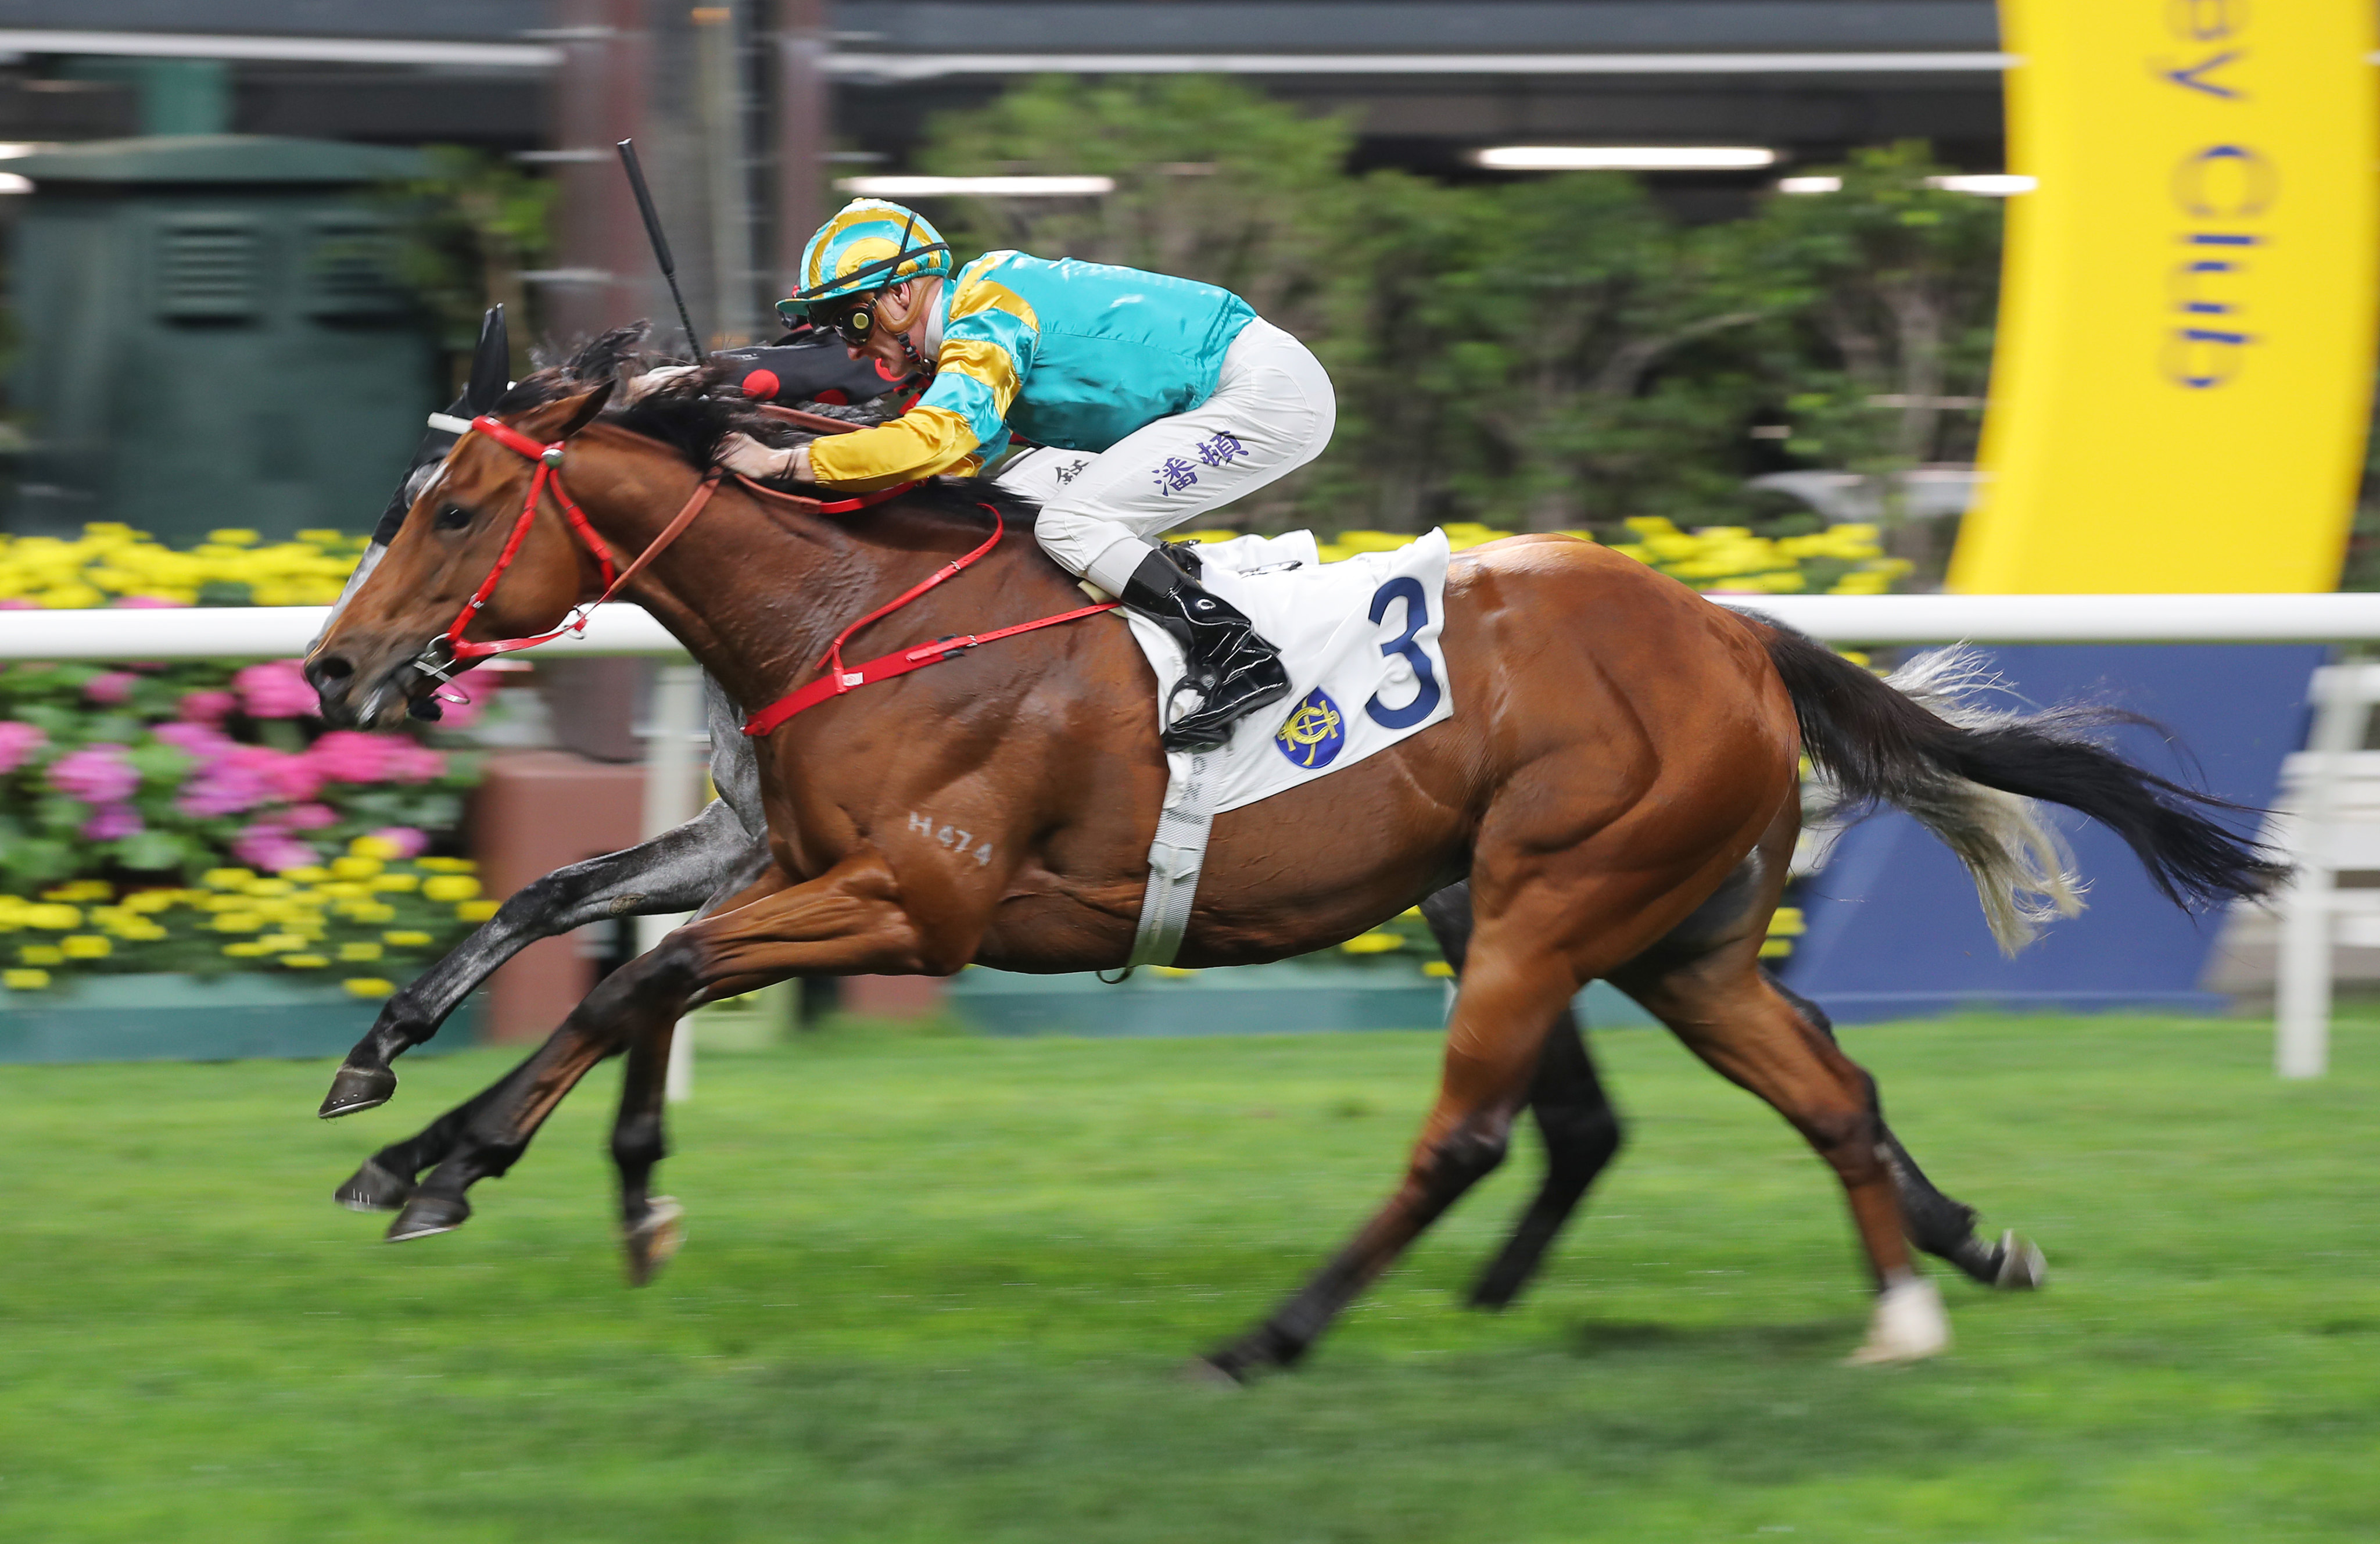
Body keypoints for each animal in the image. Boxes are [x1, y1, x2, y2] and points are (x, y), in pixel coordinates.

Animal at [307, 354, 2275, 1370]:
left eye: (458, 509)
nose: (334, 669)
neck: (860, 609)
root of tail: (1730, 625)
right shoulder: (777, 852)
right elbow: (584, 925)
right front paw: (409, 1095)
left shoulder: (909, 901)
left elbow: (643, 971)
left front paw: (448, 1162)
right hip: (1676, 936)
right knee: (1824, 1089)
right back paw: (1916, 1294)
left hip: (1551, 897)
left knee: (1481, 1130)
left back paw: (1278, 1330)